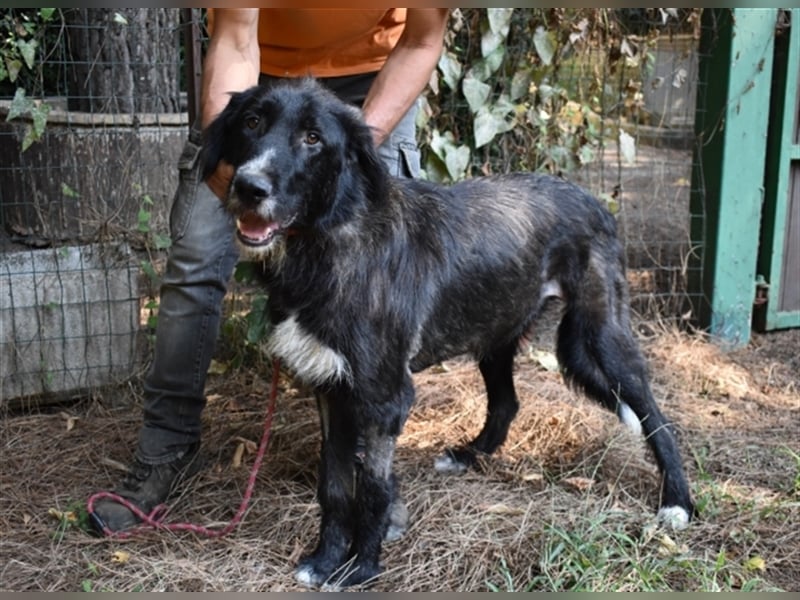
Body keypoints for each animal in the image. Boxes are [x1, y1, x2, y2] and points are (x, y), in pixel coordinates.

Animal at [202, 77, 692, 588]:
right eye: (252, 122)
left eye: (313, 138)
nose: (249, 187)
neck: (328, 241)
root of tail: (598, 201)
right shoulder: (330, 387)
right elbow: (334, 484)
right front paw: (324, 560)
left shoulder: (385, 397)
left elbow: (372, 488)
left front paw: (361, 568)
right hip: (495, 331)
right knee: (506, 403)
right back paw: (468, 456)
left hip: (602, 335)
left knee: (657, 416)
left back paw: (677, 503)